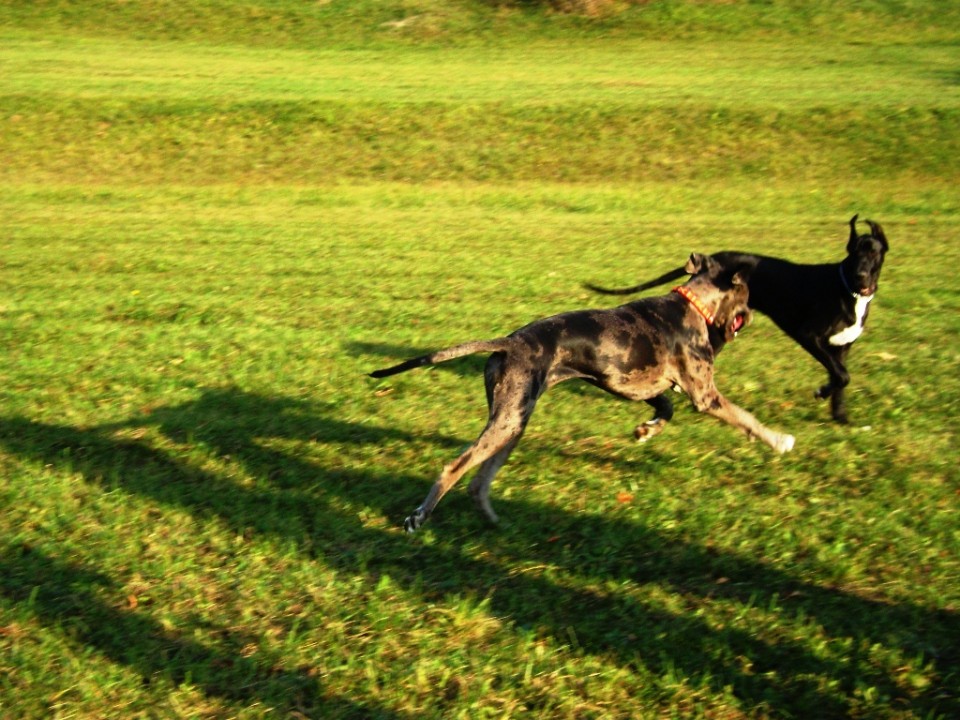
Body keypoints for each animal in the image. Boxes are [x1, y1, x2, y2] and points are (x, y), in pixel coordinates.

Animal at [372, 250, 792, 532]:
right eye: (747, 296)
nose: (751, 316)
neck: (694, 306)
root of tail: (508, 343)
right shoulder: (705, 396)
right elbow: (748, 419)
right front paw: (780, 440)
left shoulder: (643, 387)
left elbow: (667, 408)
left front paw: (645, 431)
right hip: (507, 423)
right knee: (455, 468)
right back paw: (419, 517)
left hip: (513, 424)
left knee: (478, 482)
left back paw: (496, 523)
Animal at [588, 217, 888, 424]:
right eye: (854, 254)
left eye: (874, 253)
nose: (862, 276)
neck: (847, 289)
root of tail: (713, 259)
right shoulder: (809, 335)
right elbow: (842, 375)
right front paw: (822, 392)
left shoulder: (843, 345)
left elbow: (840, 377)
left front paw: (839, 414)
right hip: (714, 333)